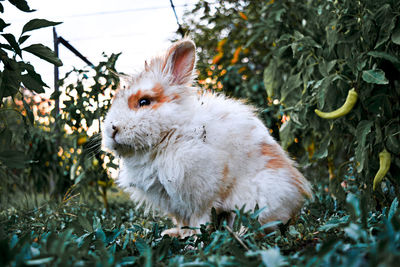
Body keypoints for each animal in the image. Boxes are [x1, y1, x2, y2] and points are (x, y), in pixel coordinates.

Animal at [101, 38, 312, 239]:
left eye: (144, 101)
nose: (112, 129)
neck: (170, 134)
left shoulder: (201, 194)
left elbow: (199, 219)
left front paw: (193, 239)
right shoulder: (174, 203)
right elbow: (182, 221)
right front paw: (176, 234)